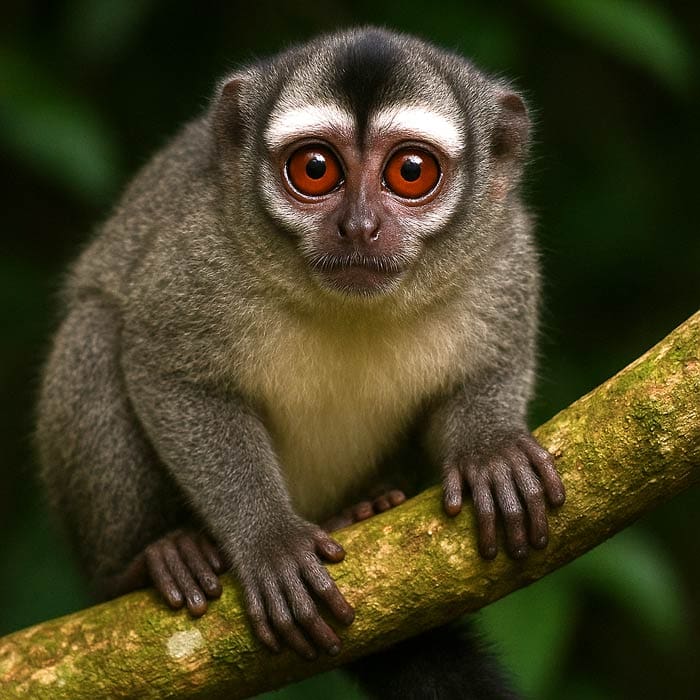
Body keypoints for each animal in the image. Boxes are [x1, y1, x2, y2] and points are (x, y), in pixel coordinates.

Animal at [36, 27, 565, 698]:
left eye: (410, 172)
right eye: (315, 170)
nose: (359, 227)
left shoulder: (505, 256)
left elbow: (491, 366)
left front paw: (489, 452)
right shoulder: (199, 250)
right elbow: (164, 366)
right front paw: (270, 540)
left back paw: (362, 507)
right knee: (96, 330)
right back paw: (152, 561)